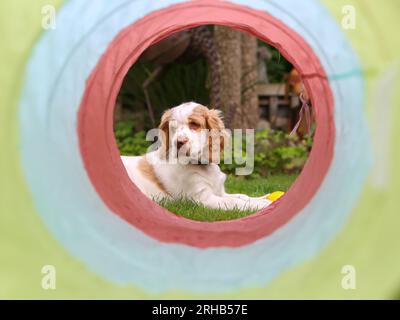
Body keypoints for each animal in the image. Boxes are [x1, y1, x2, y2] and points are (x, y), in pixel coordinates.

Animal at [121, 102, 272, 211]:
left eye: (194, 124)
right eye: (173, 127)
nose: (179, 142)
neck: (201, 166)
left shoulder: (220, 192)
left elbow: (242, 195)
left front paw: (263, 198)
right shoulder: (201, 199)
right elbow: (234, 201)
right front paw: (262, 205)